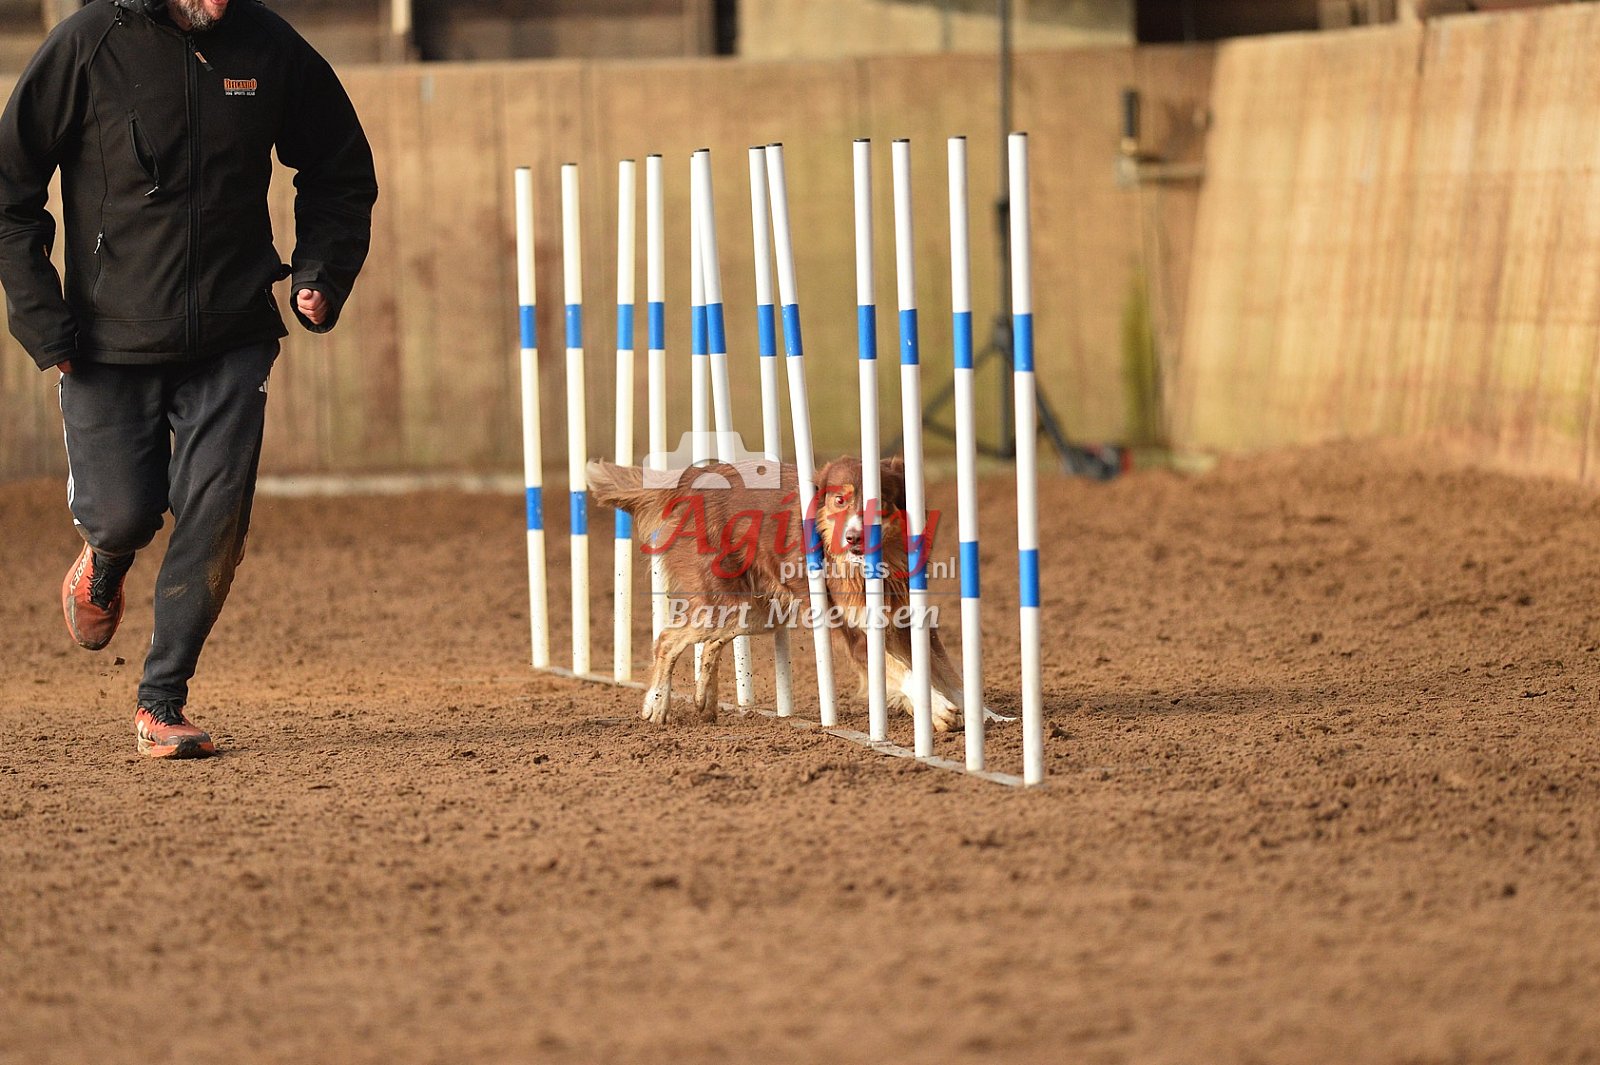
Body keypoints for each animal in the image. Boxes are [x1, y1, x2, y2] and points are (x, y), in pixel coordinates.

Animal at [586, 455, 973, 730]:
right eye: (839, 500)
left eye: (879, 502)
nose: (853, 538)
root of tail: (691, 483)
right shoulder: (854, 633)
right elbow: (904, 672)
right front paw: (940, 710)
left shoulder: (906, 621)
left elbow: (946, 672)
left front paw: (976, 714)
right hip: (727, 603)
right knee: (668, 639)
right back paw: (656, 705)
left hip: (758, 612)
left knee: (710, 643)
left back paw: (705, 703)